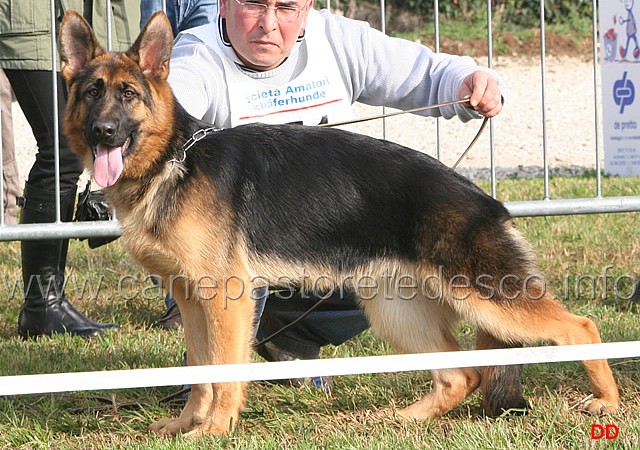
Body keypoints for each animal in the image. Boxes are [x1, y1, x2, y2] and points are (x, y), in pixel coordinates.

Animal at [60, 11, 620, 436]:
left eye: (129, 95)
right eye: (92, 92)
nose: (103, 131)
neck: (173, 159)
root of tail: (486, 199)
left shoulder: (225, 300)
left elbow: (225, 372)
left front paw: (215, 430)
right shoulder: (192, 299)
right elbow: (202, 370)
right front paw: (186, 425)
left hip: (488, 298)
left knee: (580, 327)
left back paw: (607, 402)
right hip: (396, 310)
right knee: (460, 374)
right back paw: (405, 419)